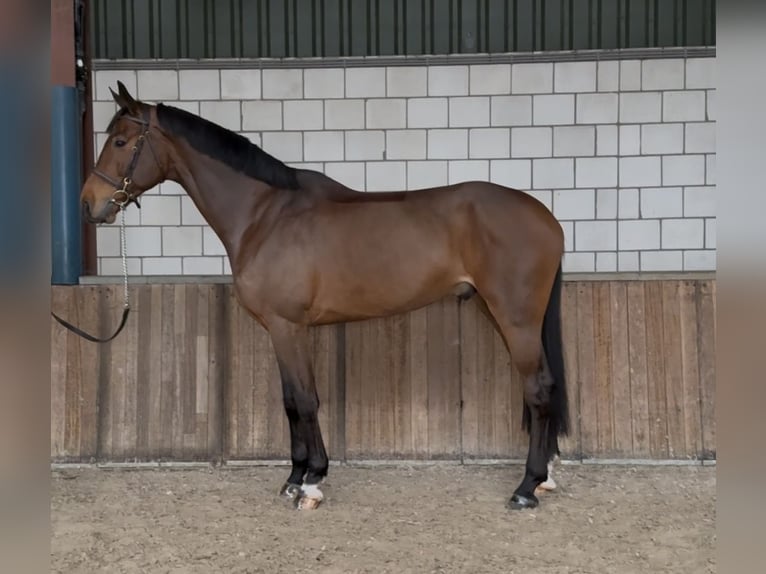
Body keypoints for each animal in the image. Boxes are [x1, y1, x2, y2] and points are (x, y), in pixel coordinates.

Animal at [80, 81, 569, 511]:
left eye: (120, 141)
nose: (88, 203)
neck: (264, 215)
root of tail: (545, 216)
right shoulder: (282, 331)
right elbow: (291, 402)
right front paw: (295, 477)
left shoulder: (288, 327)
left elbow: (305, 400)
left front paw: (312, 482)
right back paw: (543, 478)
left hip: (516, 320)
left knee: (538, 389)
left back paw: (526, 487)